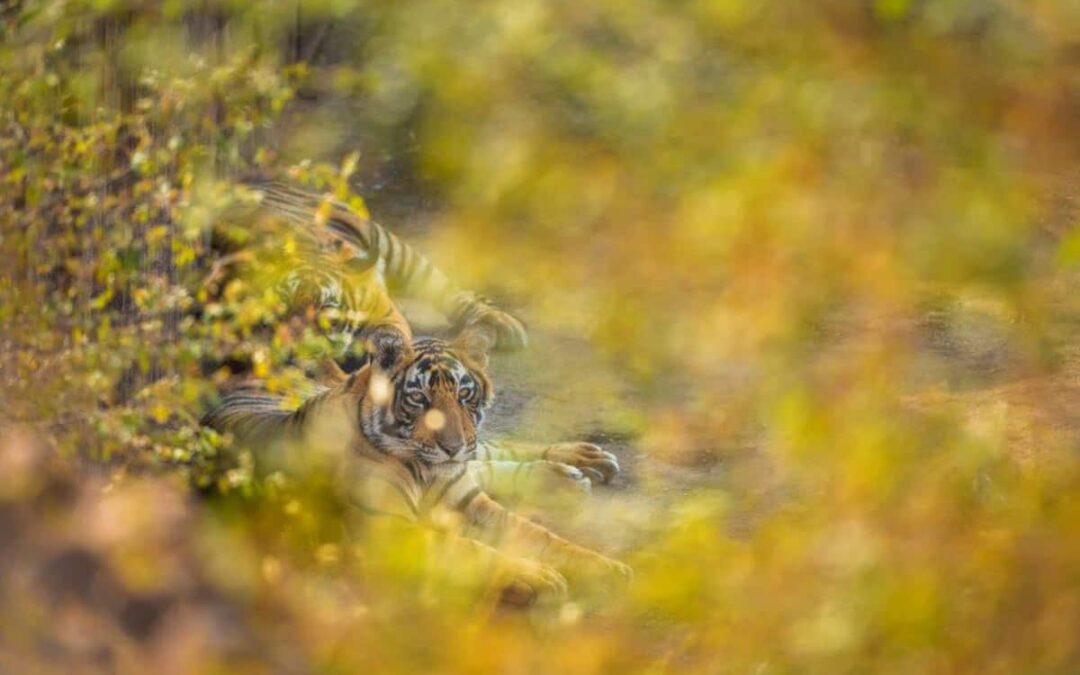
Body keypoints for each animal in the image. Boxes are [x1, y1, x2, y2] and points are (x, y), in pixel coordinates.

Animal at [201, 324, 632, 600]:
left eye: (464, 394)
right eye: (419, 399)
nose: (451, 447)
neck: (426, 470)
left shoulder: (469, 501)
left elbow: (541, 536)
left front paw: (607, 568)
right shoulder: (391, 529)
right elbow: (469, 549)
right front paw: (531, 575)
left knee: (489, 452)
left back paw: (578, 462)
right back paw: (569, 473)